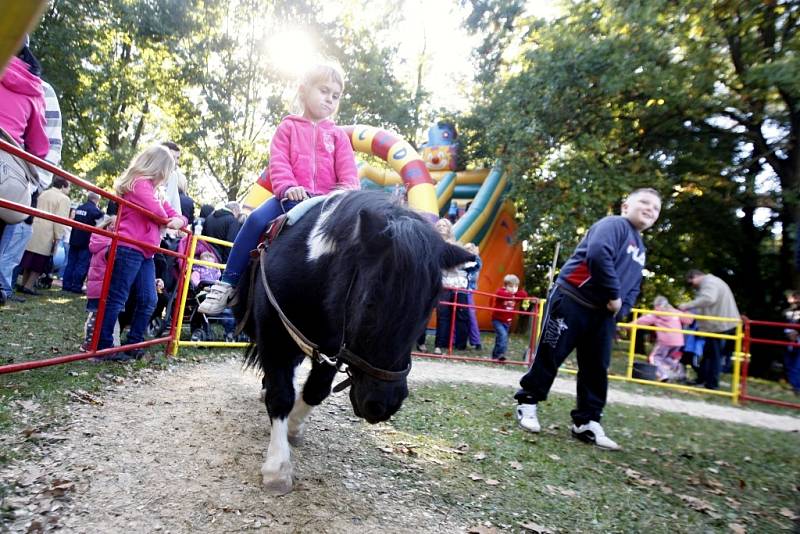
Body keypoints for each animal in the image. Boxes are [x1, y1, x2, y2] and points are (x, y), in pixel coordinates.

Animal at [236, 191, 476, 496]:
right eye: (369, 300)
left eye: (430, 307)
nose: (384, 404)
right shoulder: (273, 333)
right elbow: (281, 395)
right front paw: (277, 468)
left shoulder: (332, 346)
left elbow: (316, 391)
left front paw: (293, 428)